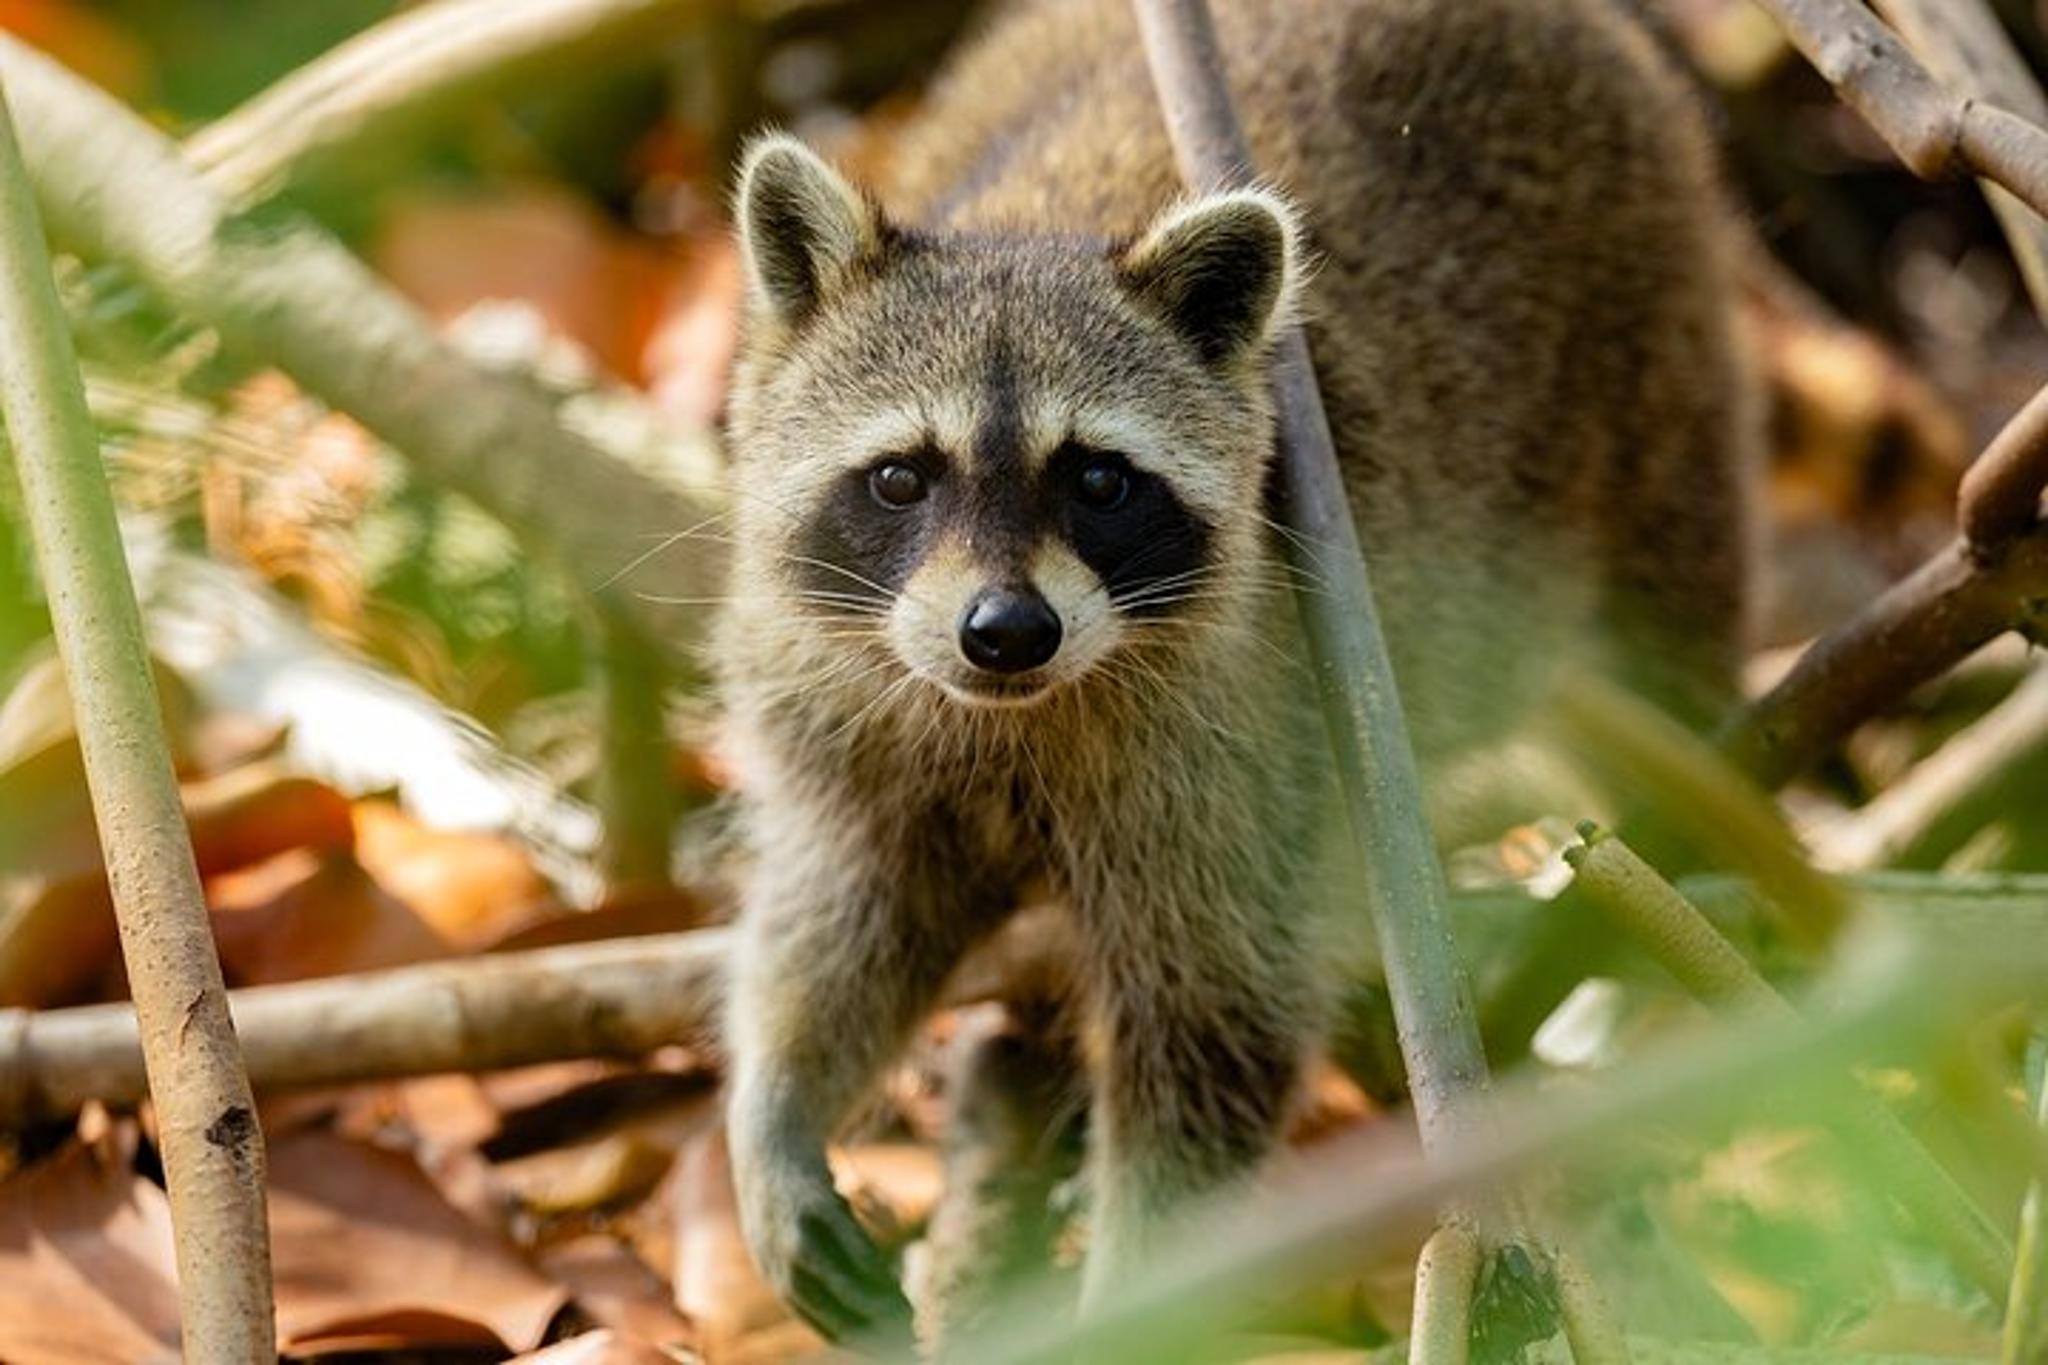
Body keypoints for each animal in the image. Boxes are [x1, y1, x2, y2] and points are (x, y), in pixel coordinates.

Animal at [716, 0, 1752, 1343]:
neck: (1022, 710)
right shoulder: (842, 705)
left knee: (1660, 656)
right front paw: (777, 1103)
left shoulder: (1249, 748)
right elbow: (844, 911)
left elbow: (1212, 1023)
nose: (1005, 631)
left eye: (1097, 480)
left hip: (1651, 359)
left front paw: (1128, 1296)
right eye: (901, 476)